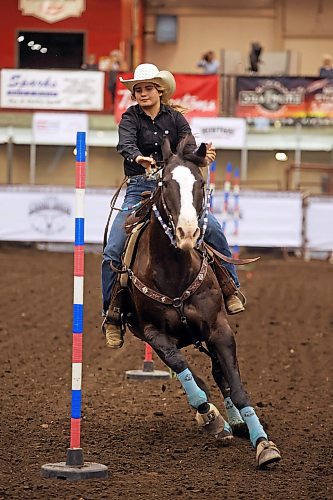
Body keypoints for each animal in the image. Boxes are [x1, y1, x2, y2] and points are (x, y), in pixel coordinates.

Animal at [119, 137, 280, 468]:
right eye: (165, 182)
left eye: (201, 183)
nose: (188, 232)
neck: (175, 271)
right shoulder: (154, 334)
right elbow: (186, 372)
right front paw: (212, 419)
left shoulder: (219, 329)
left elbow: (236, 386)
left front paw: (263, 443)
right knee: (202, 376)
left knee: (220, 374)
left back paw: (238, 421)